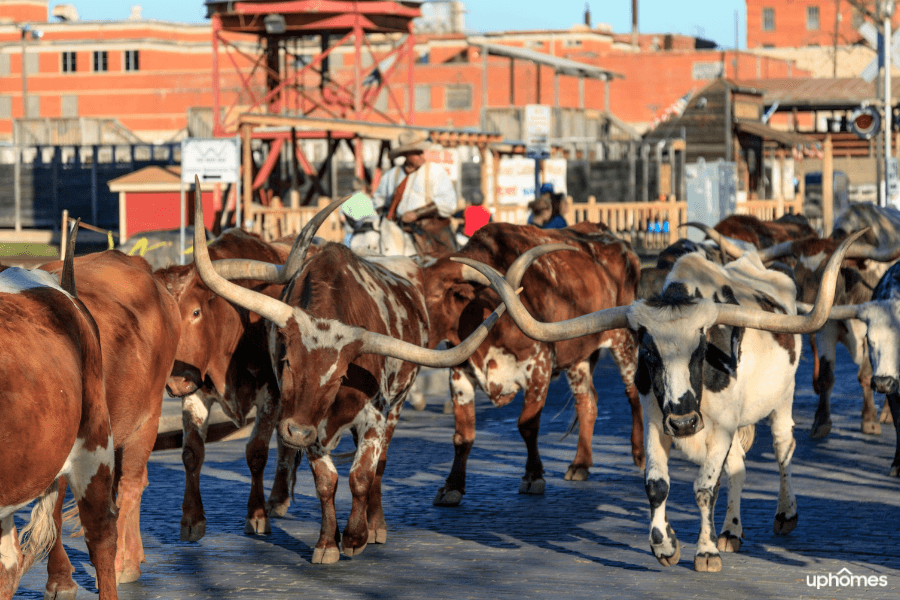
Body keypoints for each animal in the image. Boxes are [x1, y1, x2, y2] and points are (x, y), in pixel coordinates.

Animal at [156, 229, 308, 540]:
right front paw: (192, 519)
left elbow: (257, 452)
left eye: (196, 312)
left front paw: (257, 515)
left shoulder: (271, 395)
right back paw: (278, 498)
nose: (175, 383)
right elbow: (192, 452)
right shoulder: (196, 394)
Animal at [188, 191, 506, 564]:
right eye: (287, 362)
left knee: (381, 464)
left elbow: (362, 476)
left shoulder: (374, 416)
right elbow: (327, 482)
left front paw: (356, 536)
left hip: (397, 405)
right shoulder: (309, 422)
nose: (294, 432)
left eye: (341, 376)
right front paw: (327, 542)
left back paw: (376, 524)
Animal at [424, 221, 648, 506]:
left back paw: (639, 455)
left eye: (434, 296)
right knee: (586, 402)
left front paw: (533, 477)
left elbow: (527, 425)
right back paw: (580, 464)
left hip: (624, 341)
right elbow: (463, 435)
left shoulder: (538, 368)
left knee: (632, 394)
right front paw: (452, 486)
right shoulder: (460, 375)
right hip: (577, 357)